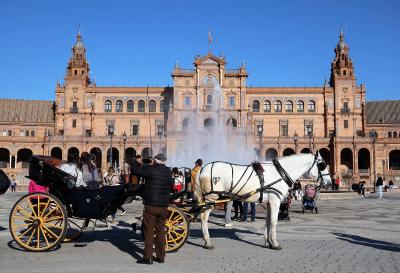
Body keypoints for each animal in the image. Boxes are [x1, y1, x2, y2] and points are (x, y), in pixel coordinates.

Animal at [195, 151, 332, 249]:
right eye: (322, 165)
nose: (330, 182)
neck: (280, 173)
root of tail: (203, 168)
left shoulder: (268, 203)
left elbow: (268, 221)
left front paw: (268, 242)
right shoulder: (275, 201)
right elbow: (274, 222)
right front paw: (275, 243)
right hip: (211, 198)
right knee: (203, 217)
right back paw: (207, 242)